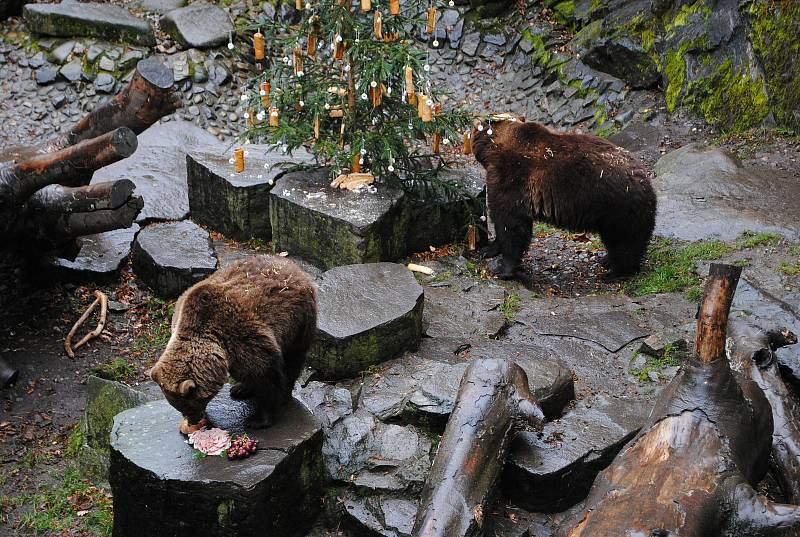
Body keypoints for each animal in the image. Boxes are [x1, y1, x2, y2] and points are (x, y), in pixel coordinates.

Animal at [148, 254, 318, 428]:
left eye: (189, 405)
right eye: (178, 407)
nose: (192, 421)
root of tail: (290, 264)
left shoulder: (243, 338)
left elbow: (268, 376)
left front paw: (258, 419)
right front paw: (243, 389)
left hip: (298, 321)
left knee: (293, 358)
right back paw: (240, 389)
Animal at [476, 118, 656, 280]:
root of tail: (647, 181)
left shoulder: (514, 177)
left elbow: (511, 224)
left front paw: (503, 269)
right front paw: (488, 250)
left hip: (618, 208)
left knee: (623, 242)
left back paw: (616, 273)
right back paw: (607, 261)